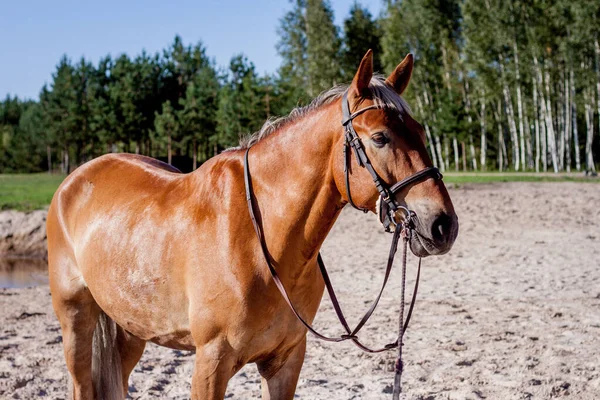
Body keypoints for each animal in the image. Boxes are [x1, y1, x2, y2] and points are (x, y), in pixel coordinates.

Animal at [48, 50, 460, 400]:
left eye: (420, 132)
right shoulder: (211, 362)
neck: (262, 243)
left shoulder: (285, 361)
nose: (442, 225)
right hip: (76, 320)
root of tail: (74, 181)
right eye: (379, 137)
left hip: (131, 327)